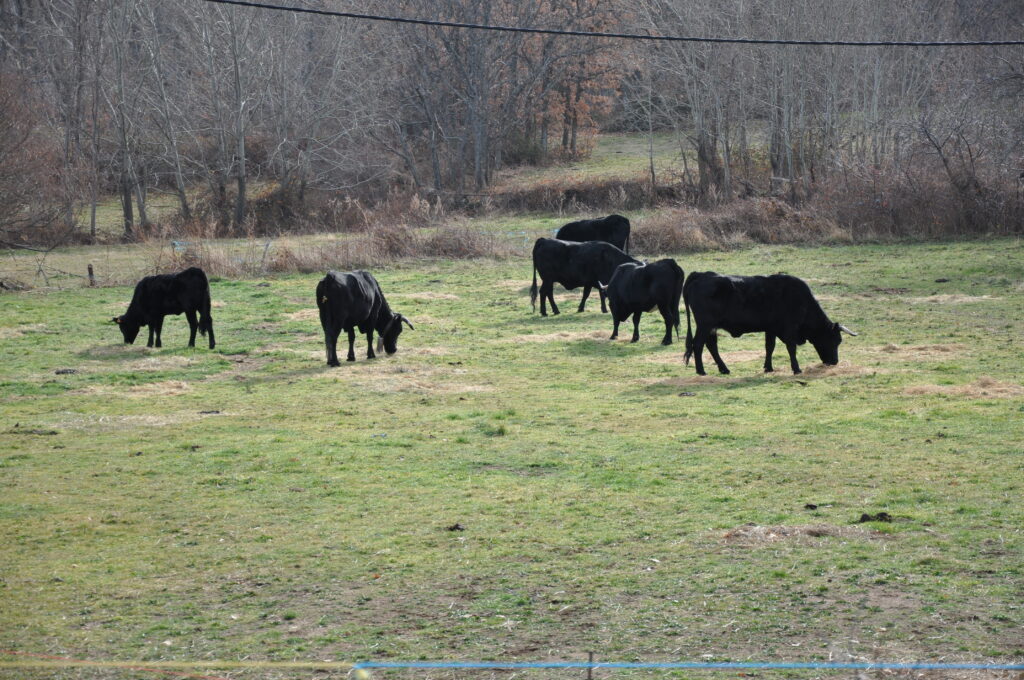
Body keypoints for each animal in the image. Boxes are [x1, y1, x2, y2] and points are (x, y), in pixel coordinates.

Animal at [682, 271, 857, 375]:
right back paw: (701, 371)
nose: (835, 362)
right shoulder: (790, 328)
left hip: (711, 327)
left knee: (711, 345)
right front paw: (796, 369)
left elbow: (769, 347)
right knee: (698, 345)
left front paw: (768, 368)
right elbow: (791, 348)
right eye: (835, 340)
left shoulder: (771, 328)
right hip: (705, 325)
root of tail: (702, 275)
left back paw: (724, 369)